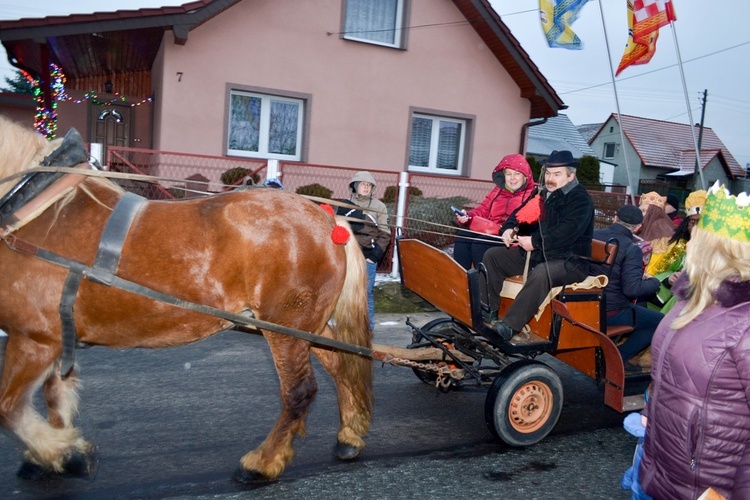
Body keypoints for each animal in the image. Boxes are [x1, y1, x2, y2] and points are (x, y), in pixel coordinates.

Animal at [0, 116, 374, 480]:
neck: (40, 211)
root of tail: (329, 221)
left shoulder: (35, 339)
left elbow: (8, 408)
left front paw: (63, 452)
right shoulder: (55, 339)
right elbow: (54, 396)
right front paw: (52, 453)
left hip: (285, 327)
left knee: (299, 391)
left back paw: (262, 463)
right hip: (307, 326)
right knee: (340, 367)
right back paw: (349, 436)